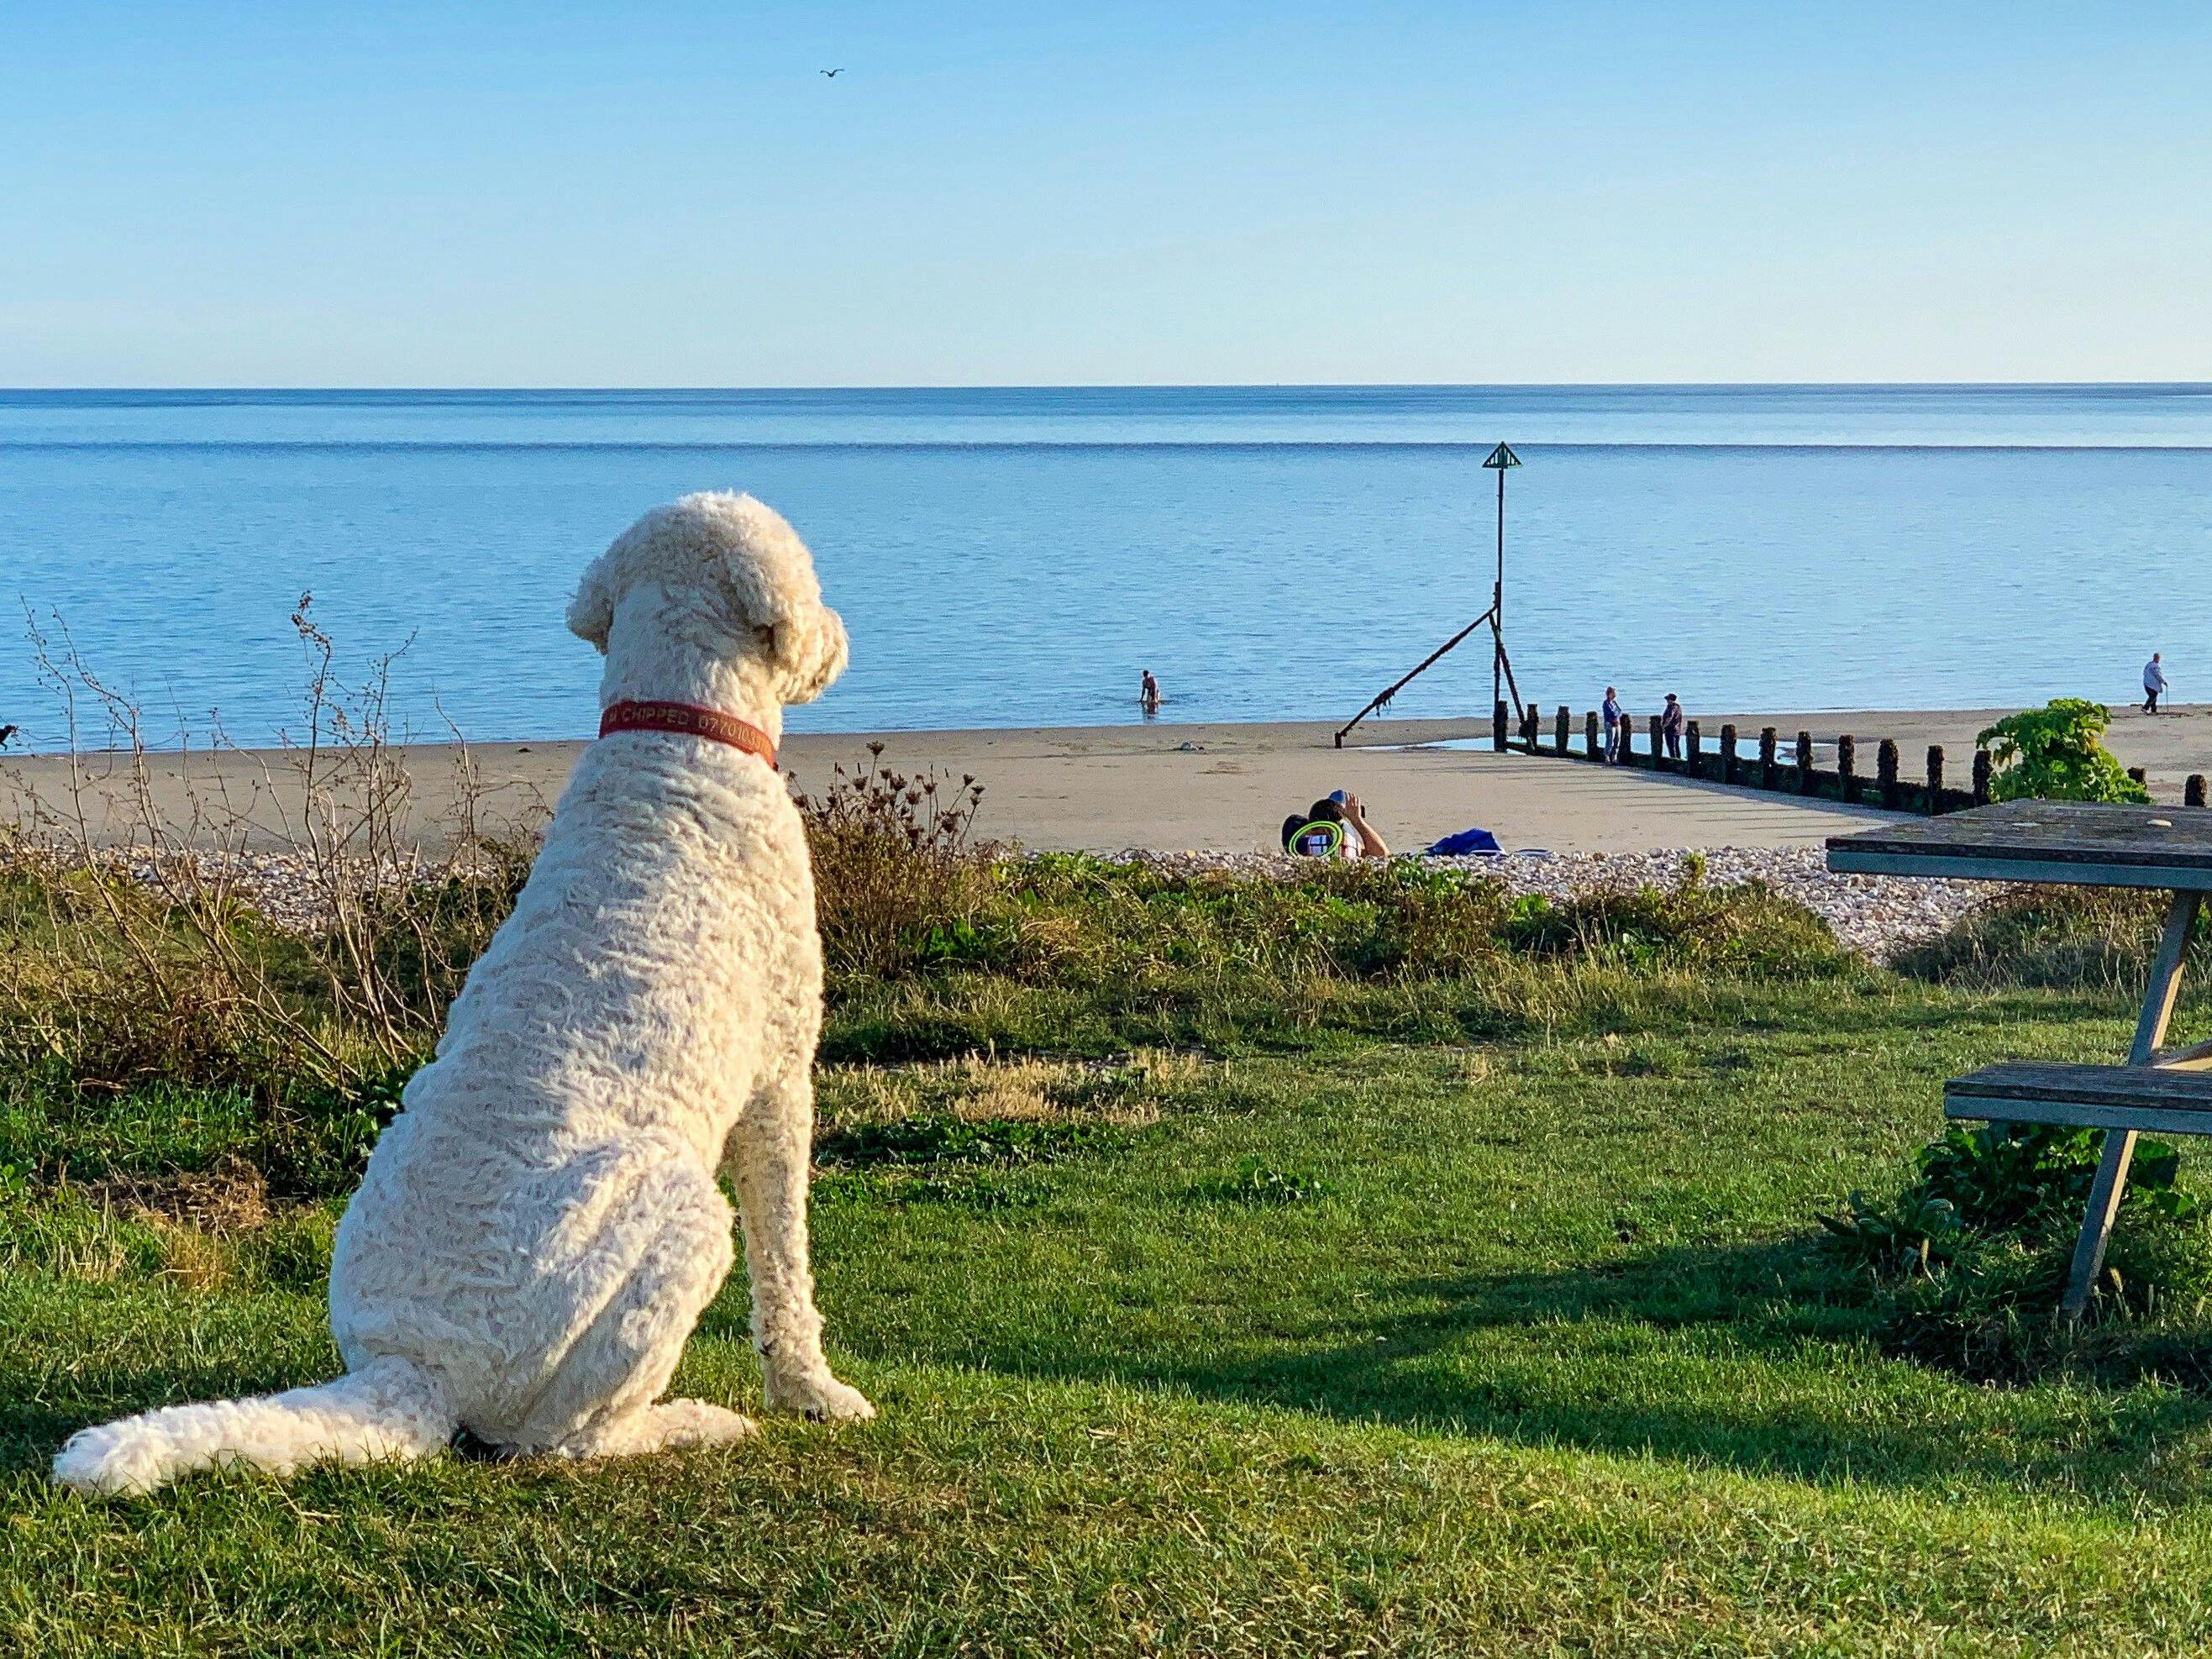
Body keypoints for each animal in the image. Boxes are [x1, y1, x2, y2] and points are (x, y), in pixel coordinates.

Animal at [55, 493, 875, 1504]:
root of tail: (418, 1366)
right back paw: (688, 1423)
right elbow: (786, 1260)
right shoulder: (779, 1075)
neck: (678, 728)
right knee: (563, 1440)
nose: (841, 638)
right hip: (675, 1221)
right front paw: (812, 1390)